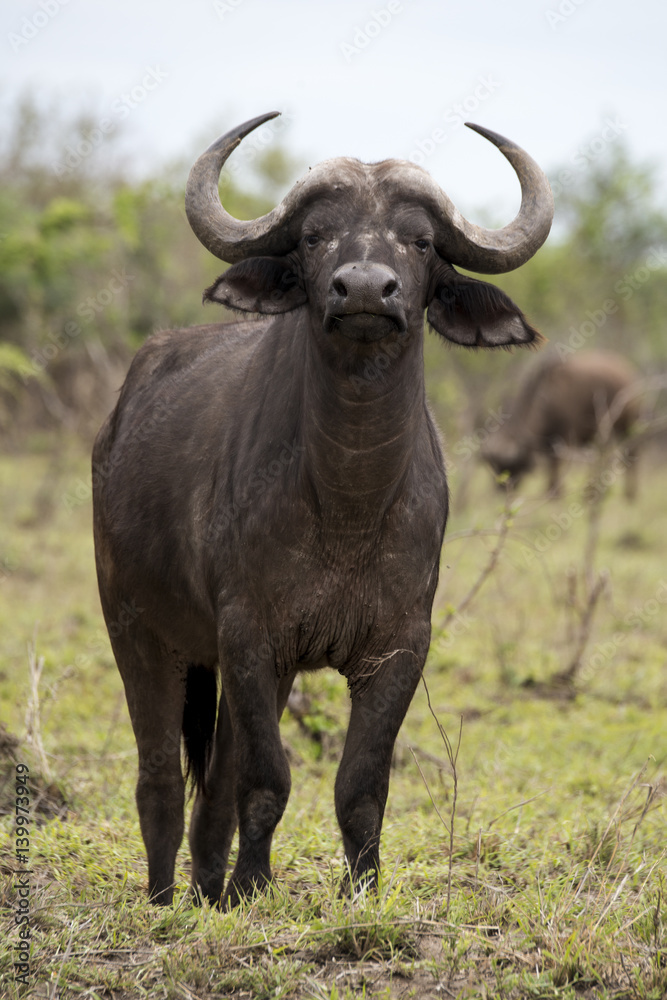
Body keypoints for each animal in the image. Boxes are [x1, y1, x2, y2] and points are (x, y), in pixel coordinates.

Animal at [94, 111, 552, 908]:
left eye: (420, 240)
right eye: (314, 236)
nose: (364, 289)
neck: (347, 503)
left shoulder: (398, 648)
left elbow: (358, 785)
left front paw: (358, 889)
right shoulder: (250, 636)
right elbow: (267, 779)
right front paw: (253, 887)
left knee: (212, 785)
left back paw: (207, 891)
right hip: (138, 630)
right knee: (160, 778)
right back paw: (164, 900)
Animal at [482, 350, 640, 494]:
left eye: (511, 466)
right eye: (494, 467)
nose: (501, 487)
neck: (548, 400)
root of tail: (628, 373)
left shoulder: (564, 440)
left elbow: (555, 468)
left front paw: (556, 493)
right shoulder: (547, 443)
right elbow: (550, 470)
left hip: (628, 427)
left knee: (631, 456)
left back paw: (629, 493)